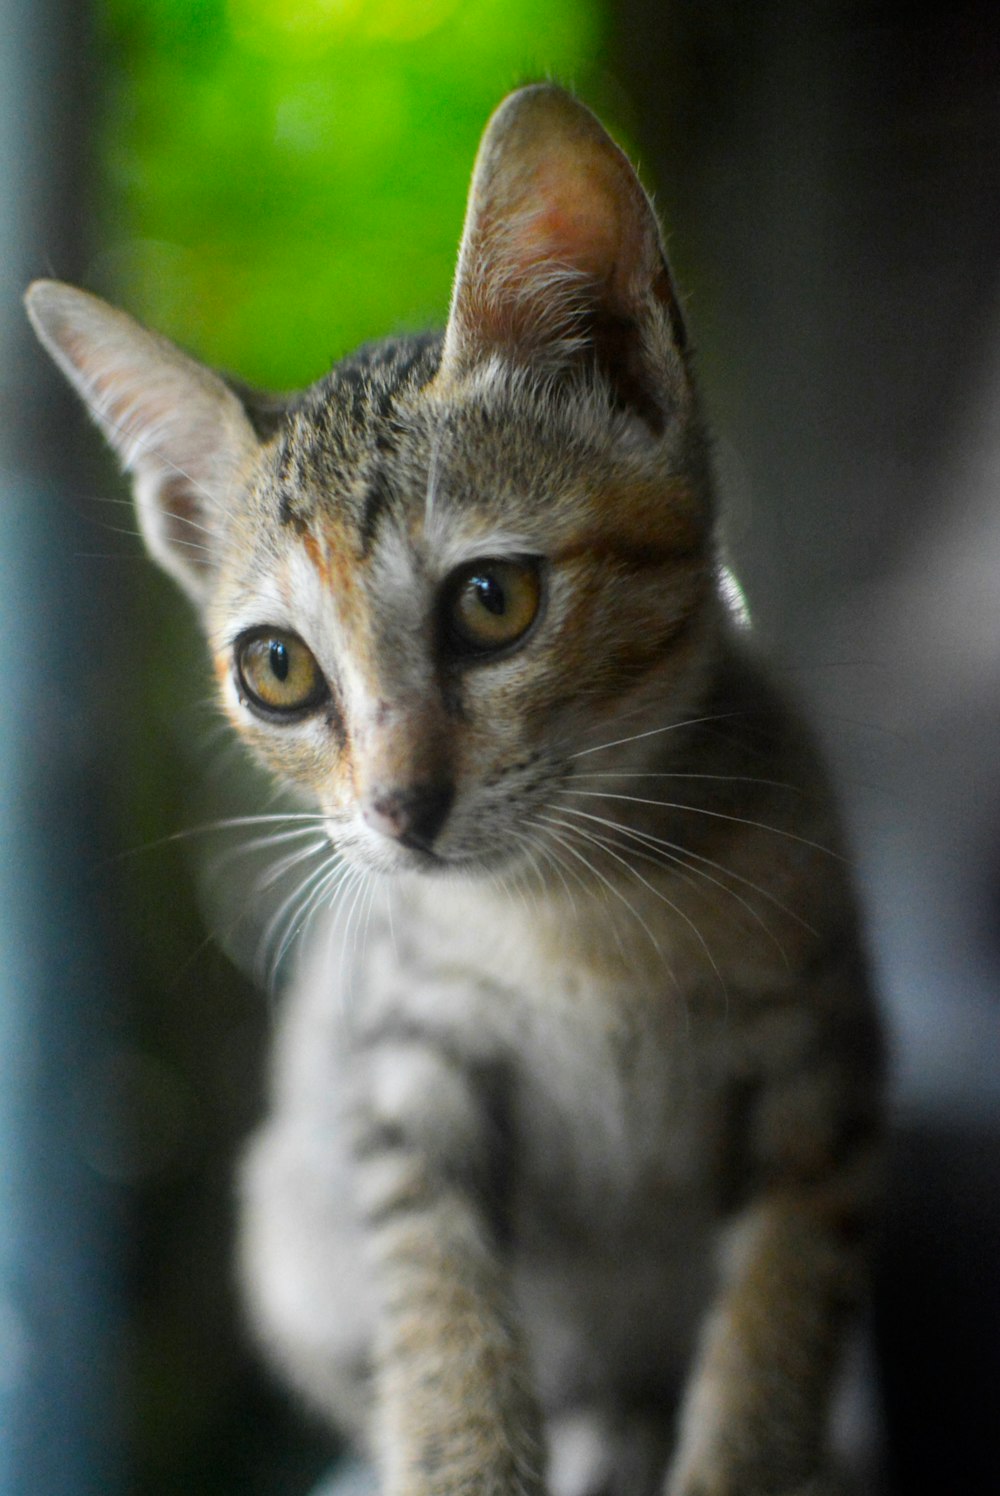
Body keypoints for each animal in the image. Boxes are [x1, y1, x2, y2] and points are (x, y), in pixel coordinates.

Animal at [25, 81, 880, 1496]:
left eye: (492, 599)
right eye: (276, 667)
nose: (398, 808)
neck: (583, 921)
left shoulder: (820, 1083)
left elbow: (770, 1340)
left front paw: (744, 1450)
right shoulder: (404, 1079)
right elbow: (442, 1333)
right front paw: (464, 1448)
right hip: (287, 1213)